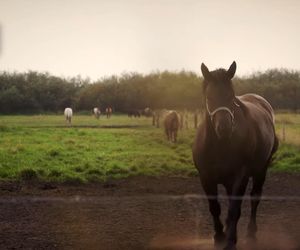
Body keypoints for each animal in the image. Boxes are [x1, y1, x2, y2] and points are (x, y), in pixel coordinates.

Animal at [193, 62, 278, 250]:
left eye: (231, 96)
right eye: (209, 97)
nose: (224, 128)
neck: (220, 145)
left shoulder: (240, 177)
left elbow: (234, 209)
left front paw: (230, 240)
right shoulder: (206, 178)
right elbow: (214, 207)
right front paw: (219, 236)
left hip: (261, 170)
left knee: (254, 197)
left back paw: (251, 232)